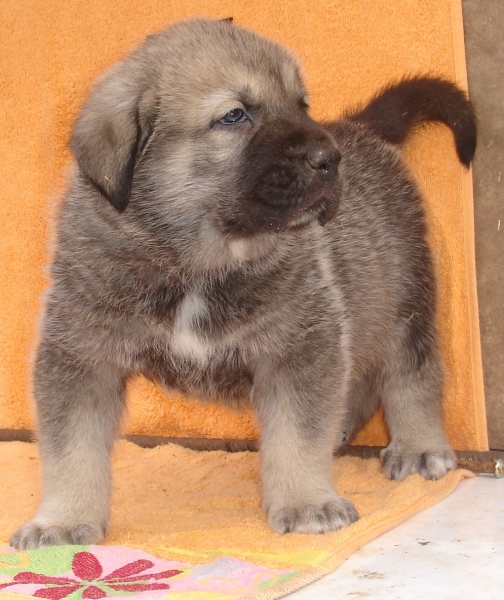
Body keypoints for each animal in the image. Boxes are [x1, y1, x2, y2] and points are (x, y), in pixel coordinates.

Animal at [11, 17, 476, 548]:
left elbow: (297, 434)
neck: (197, 262)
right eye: (234, 116)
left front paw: (306, 502)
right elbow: (71, 449)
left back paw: (418, 445)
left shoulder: (299, 345)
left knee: (410, 375)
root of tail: (356, 130)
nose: (328, 158)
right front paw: (62, 520)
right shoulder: (81, 355)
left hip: (402, 297)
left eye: (301, 105)